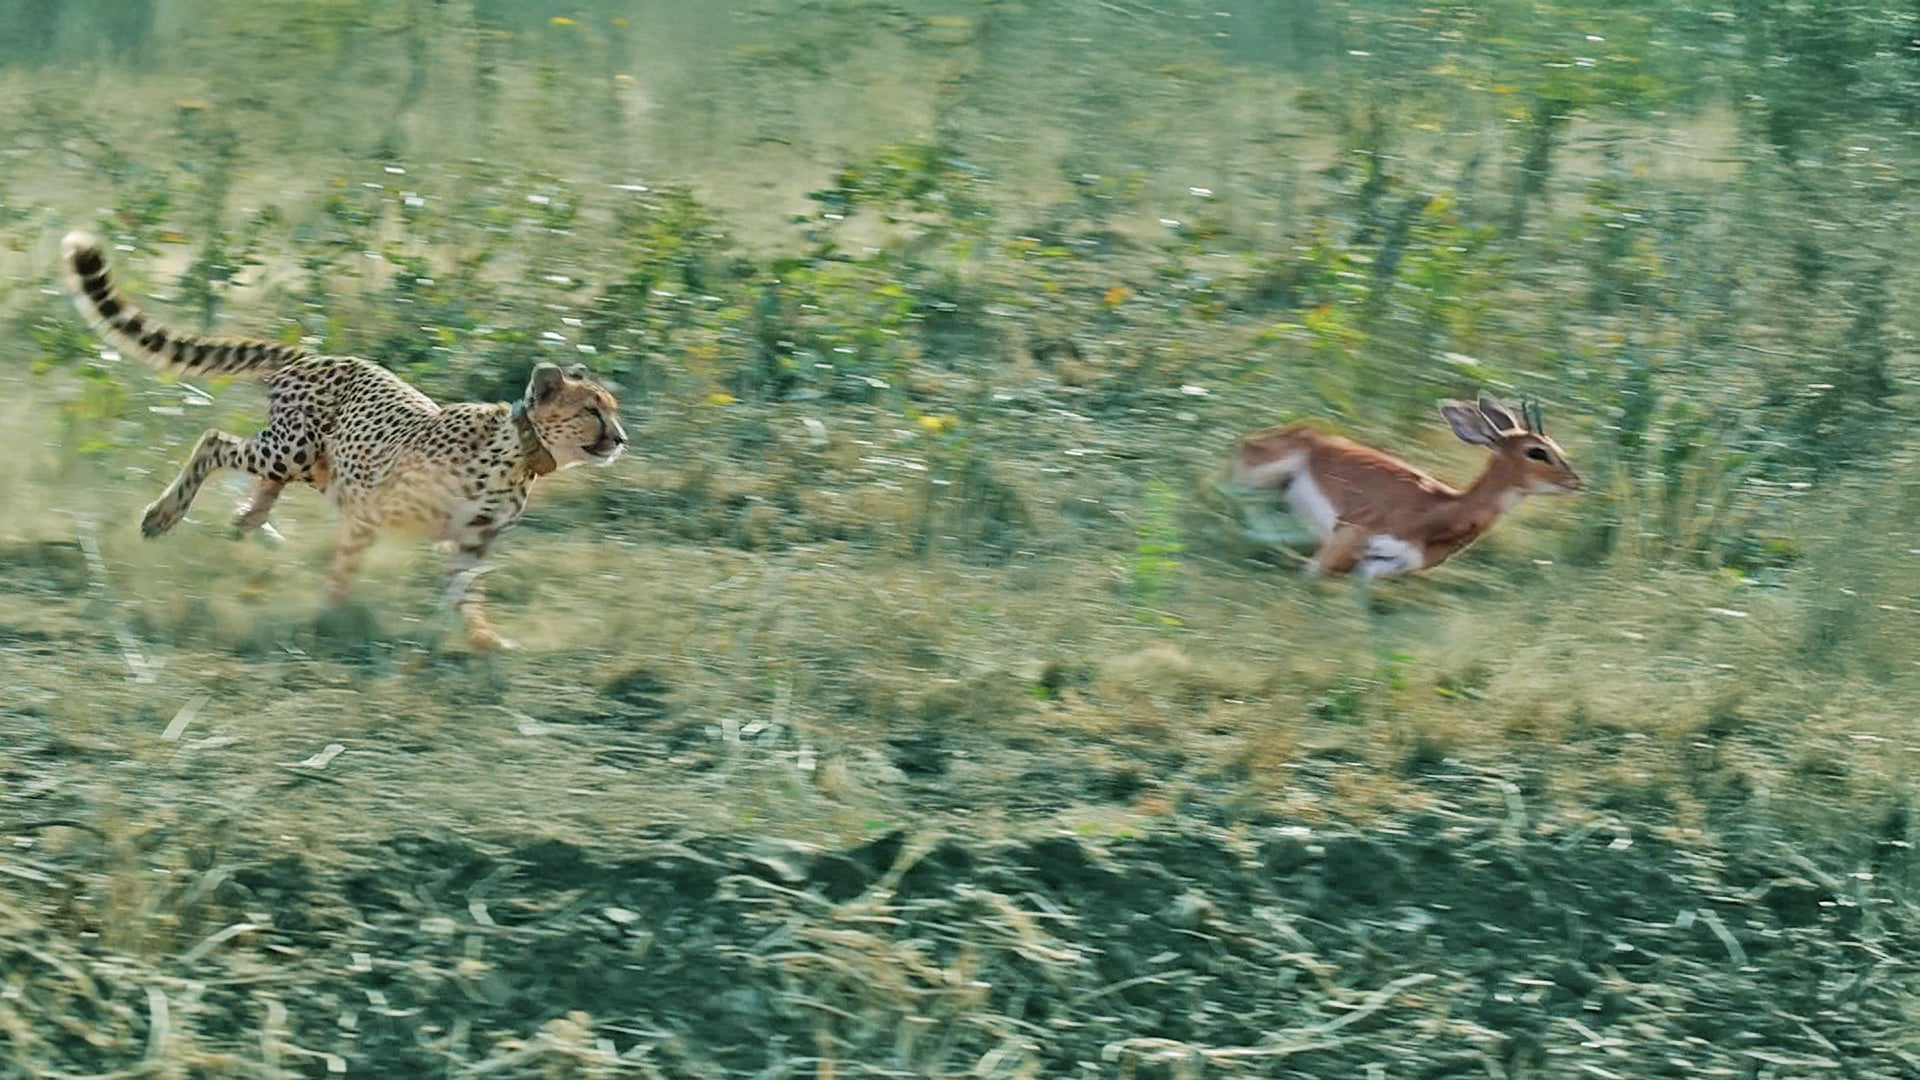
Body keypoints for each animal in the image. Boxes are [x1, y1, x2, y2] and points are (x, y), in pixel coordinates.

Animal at [59, 231, 628, 651]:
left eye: (613, 410)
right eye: (592, 410)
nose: (621, 438)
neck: (520, 453)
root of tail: (314, 355)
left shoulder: (472, 540)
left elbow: (466, 594)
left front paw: (483, 640)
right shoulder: (371, 509)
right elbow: (346, 566)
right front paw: (330, 616)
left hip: (312, 464)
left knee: (258, 486)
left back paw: (244, 528)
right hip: (291, 449)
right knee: (214, 440)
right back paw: (164, 515)